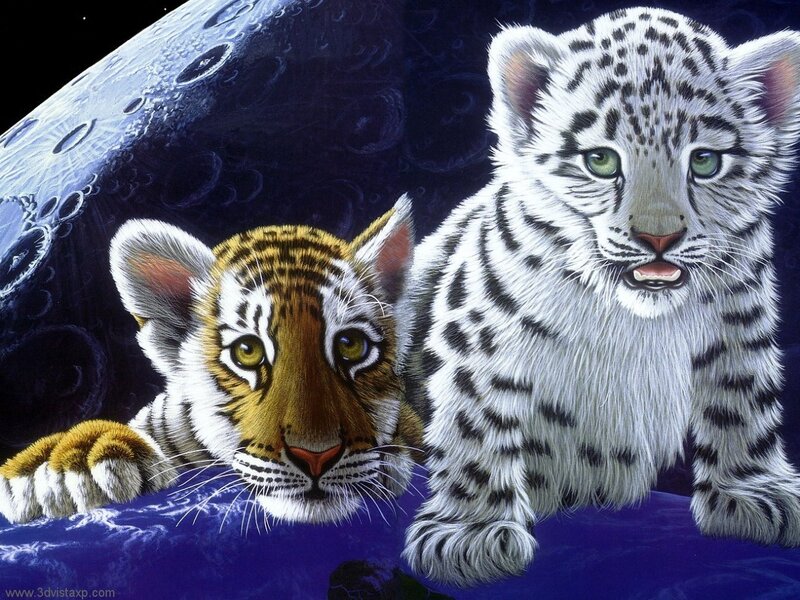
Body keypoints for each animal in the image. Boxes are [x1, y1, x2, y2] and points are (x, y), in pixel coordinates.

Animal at [401, 7, 800, 587]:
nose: (658, 237)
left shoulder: (740, 328)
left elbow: (742, 405)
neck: (635, 320)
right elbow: (475, 427)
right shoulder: (481, 336)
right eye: (600, 160)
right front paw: (469, 536)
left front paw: (756, 493)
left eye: (705, 161)